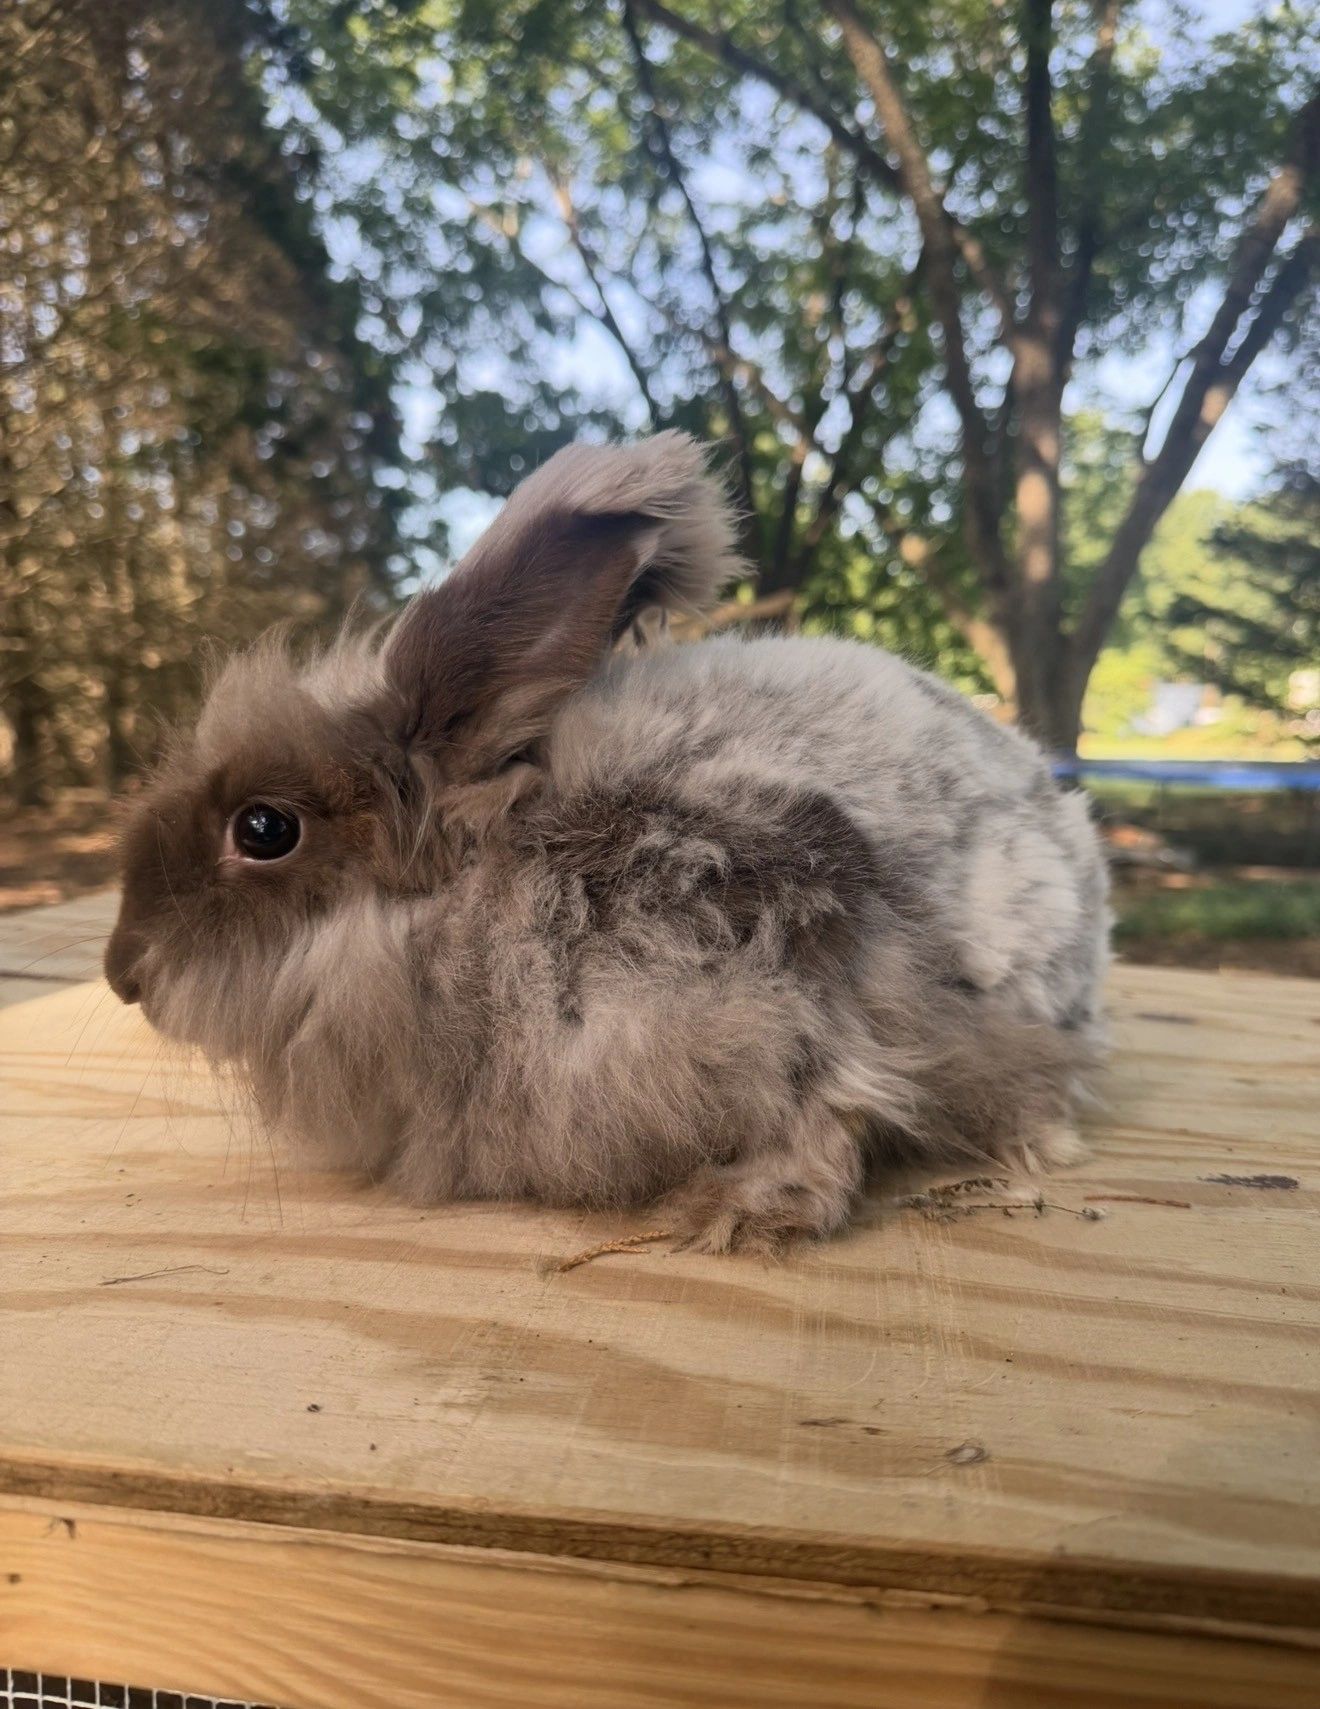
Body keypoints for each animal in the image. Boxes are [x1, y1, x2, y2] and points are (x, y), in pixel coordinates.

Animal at [105, 432, 1109, 1254]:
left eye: (263, 828)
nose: (124, 974)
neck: (486, 893)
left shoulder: (804, 936)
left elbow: (835, 1091)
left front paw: (744, 1209)